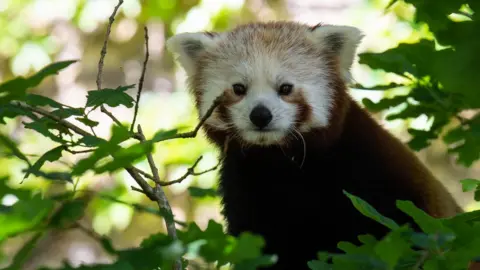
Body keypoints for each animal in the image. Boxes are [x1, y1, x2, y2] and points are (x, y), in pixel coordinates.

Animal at [167, 20, 466, 268]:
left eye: (285, 88)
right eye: (239, 89)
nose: (261, 115)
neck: (283, 165)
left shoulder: (378, 171)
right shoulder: (244, 188)